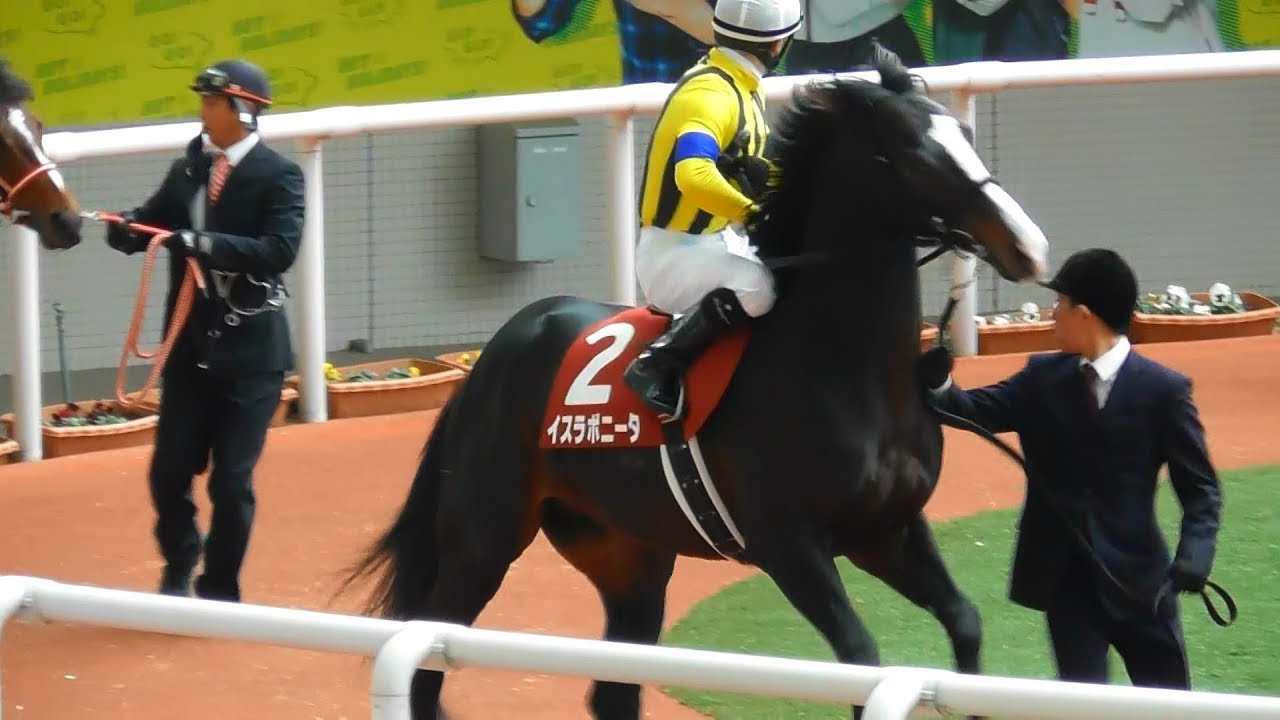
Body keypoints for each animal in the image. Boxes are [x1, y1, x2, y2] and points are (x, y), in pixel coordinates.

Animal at [341, 46, 1050, 720]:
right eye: (916, 156)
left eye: (964, 132)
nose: (1029, 245)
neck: (849, 374)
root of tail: (493, 355)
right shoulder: (787, 542)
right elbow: (859, 656)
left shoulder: (888, 529)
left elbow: (965, 622)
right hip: (482, 539)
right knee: (428, 662)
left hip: (629, 557)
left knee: (614, 690)